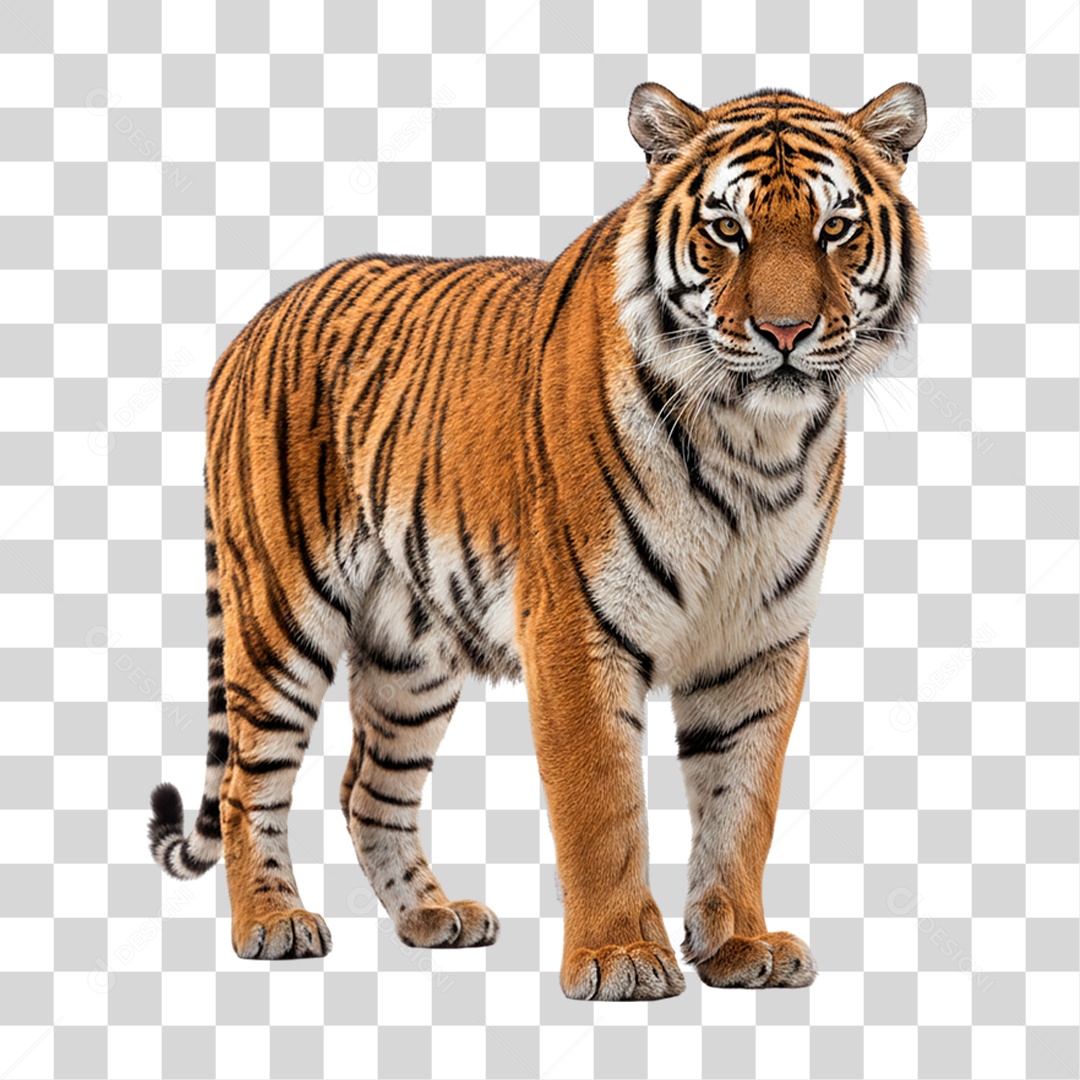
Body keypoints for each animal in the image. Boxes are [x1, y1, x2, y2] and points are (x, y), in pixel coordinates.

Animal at [148, 80, 927, 1001]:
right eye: (726, 229)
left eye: (835, 228)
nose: (784, 332)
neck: (754, 444)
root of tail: (249, 328)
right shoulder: (575, 625)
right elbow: (603, 806)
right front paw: (622, 957)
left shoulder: (760, 644)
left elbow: (744, 805)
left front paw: (741, 944)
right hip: (279, 614)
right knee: (247, 781)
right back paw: (273, 923)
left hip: (412, 655)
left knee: (369, 788)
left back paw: (433, 917)